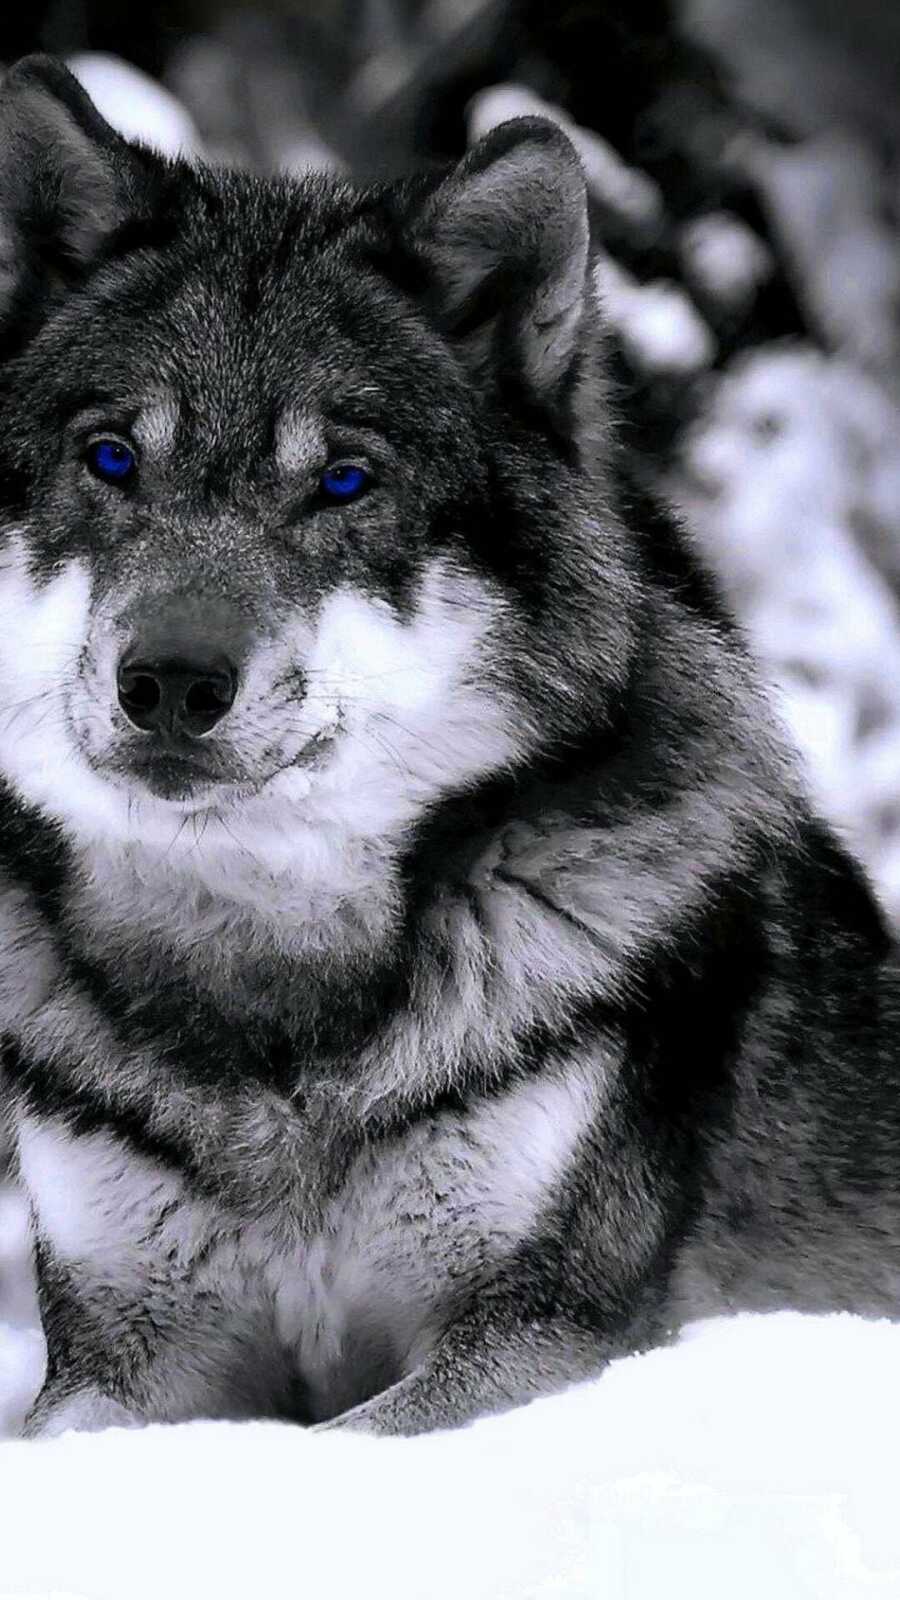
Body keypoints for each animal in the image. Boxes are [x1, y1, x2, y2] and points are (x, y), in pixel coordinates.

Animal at [0, 54, 897, 1440]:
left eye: (344, 482)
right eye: (110, 460)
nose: (170, 682)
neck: (274, 1012)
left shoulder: (540, 1330)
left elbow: (344, 1447)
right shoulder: (120, 1354)